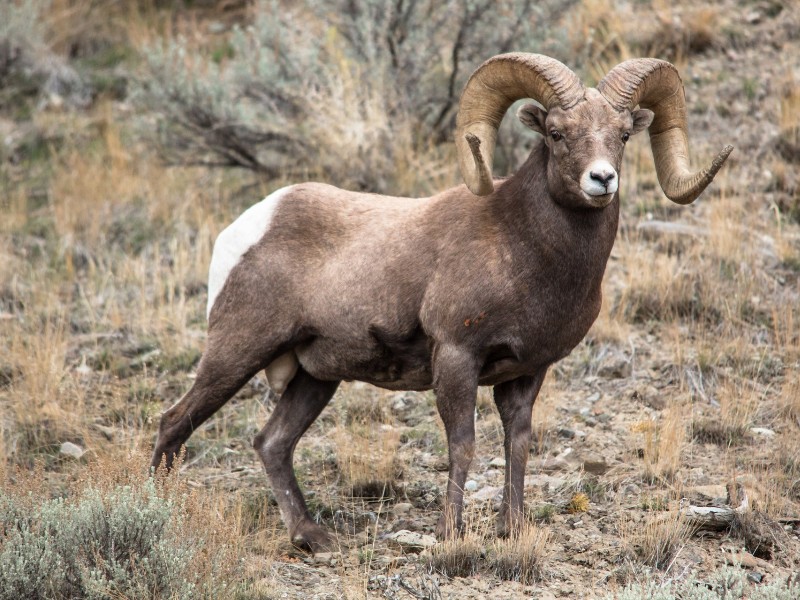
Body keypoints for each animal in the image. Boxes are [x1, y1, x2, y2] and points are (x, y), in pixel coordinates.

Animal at [150, 54, 732, 552]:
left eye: (624, 135)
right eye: (556, 133)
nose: (602, 179)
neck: (522, 248)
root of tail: (248, 225)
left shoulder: (527, 374)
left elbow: (517, 445)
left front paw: (511, 528)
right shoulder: (456, 358)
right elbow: (464, 445)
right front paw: (452, 533)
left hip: (314, 379)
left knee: (271, 443)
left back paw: (312, 538)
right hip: (235, 353)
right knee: (174, 424)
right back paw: (160, 512)